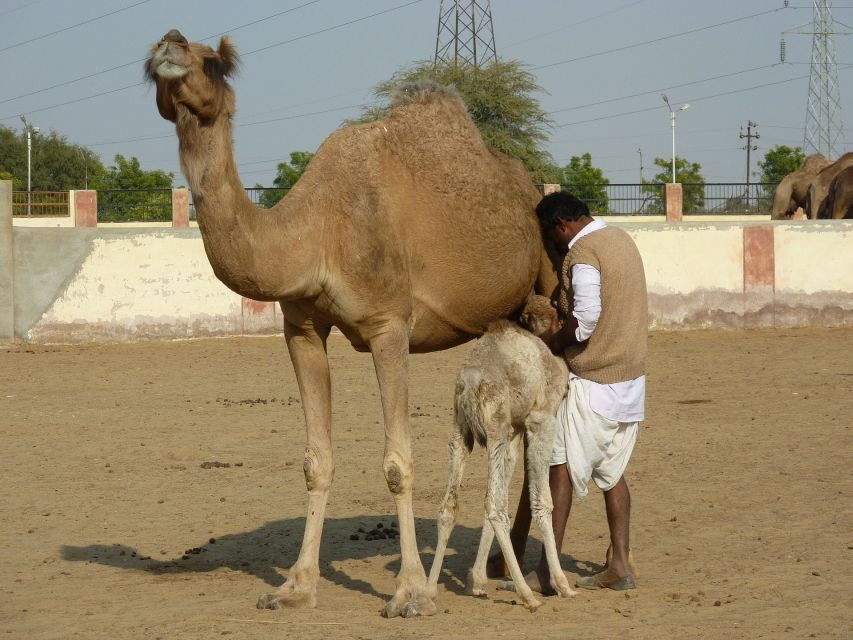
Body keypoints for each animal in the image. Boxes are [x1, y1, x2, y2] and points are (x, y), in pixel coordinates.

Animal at [145, 30, 555, 618]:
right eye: (152, 58)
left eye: (214, 62)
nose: (169, 45)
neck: (317, 232)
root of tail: (530, 183)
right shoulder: (301, 328)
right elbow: (316, 460)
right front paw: (294, 586)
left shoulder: (389, 325)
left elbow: (398, 463)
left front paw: (410, 593)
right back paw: (497, 567)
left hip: (549, 280)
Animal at [427, 295, 575, 612]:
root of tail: (470, 385)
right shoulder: (541, 418)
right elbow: (542, 502)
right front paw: (562, 584)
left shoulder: (515, 429)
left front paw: (477, 580)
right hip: (495, 427)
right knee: (495, 506)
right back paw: (528, 595)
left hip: (462, 430)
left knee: (451, 506)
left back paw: (428, 590)